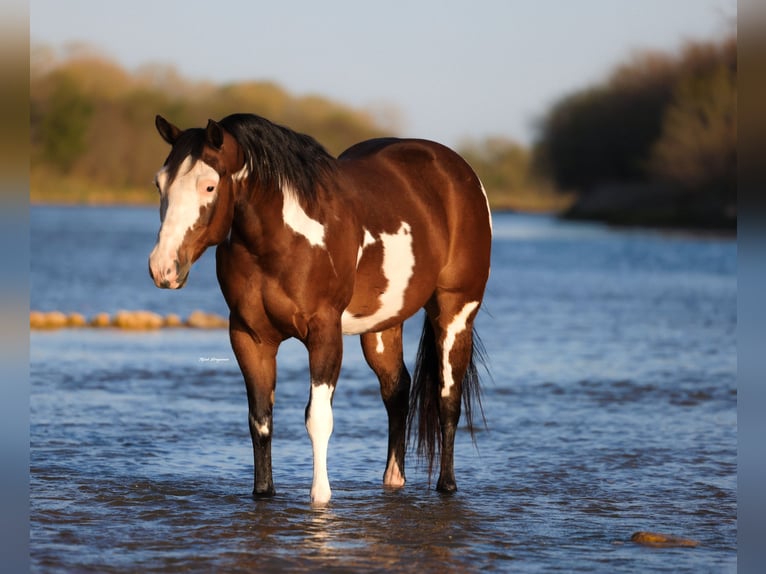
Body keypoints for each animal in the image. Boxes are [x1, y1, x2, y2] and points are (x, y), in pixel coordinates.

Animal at [148, 113, 492, 504]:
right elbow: (260, 419)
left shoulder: (324, 333)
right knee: (397, 391)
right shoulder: (250, 337)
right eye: (160, 184)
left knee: (448, 396)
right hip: (382, 326)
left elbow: (318, 418)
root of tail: (459, 172)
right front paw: (263, 492)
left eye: (208, 186)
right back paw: (393, 479)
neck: (282, 242)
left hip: (455, 312)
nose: (163, 268)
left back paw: (446, 485)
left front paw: (320, 496)